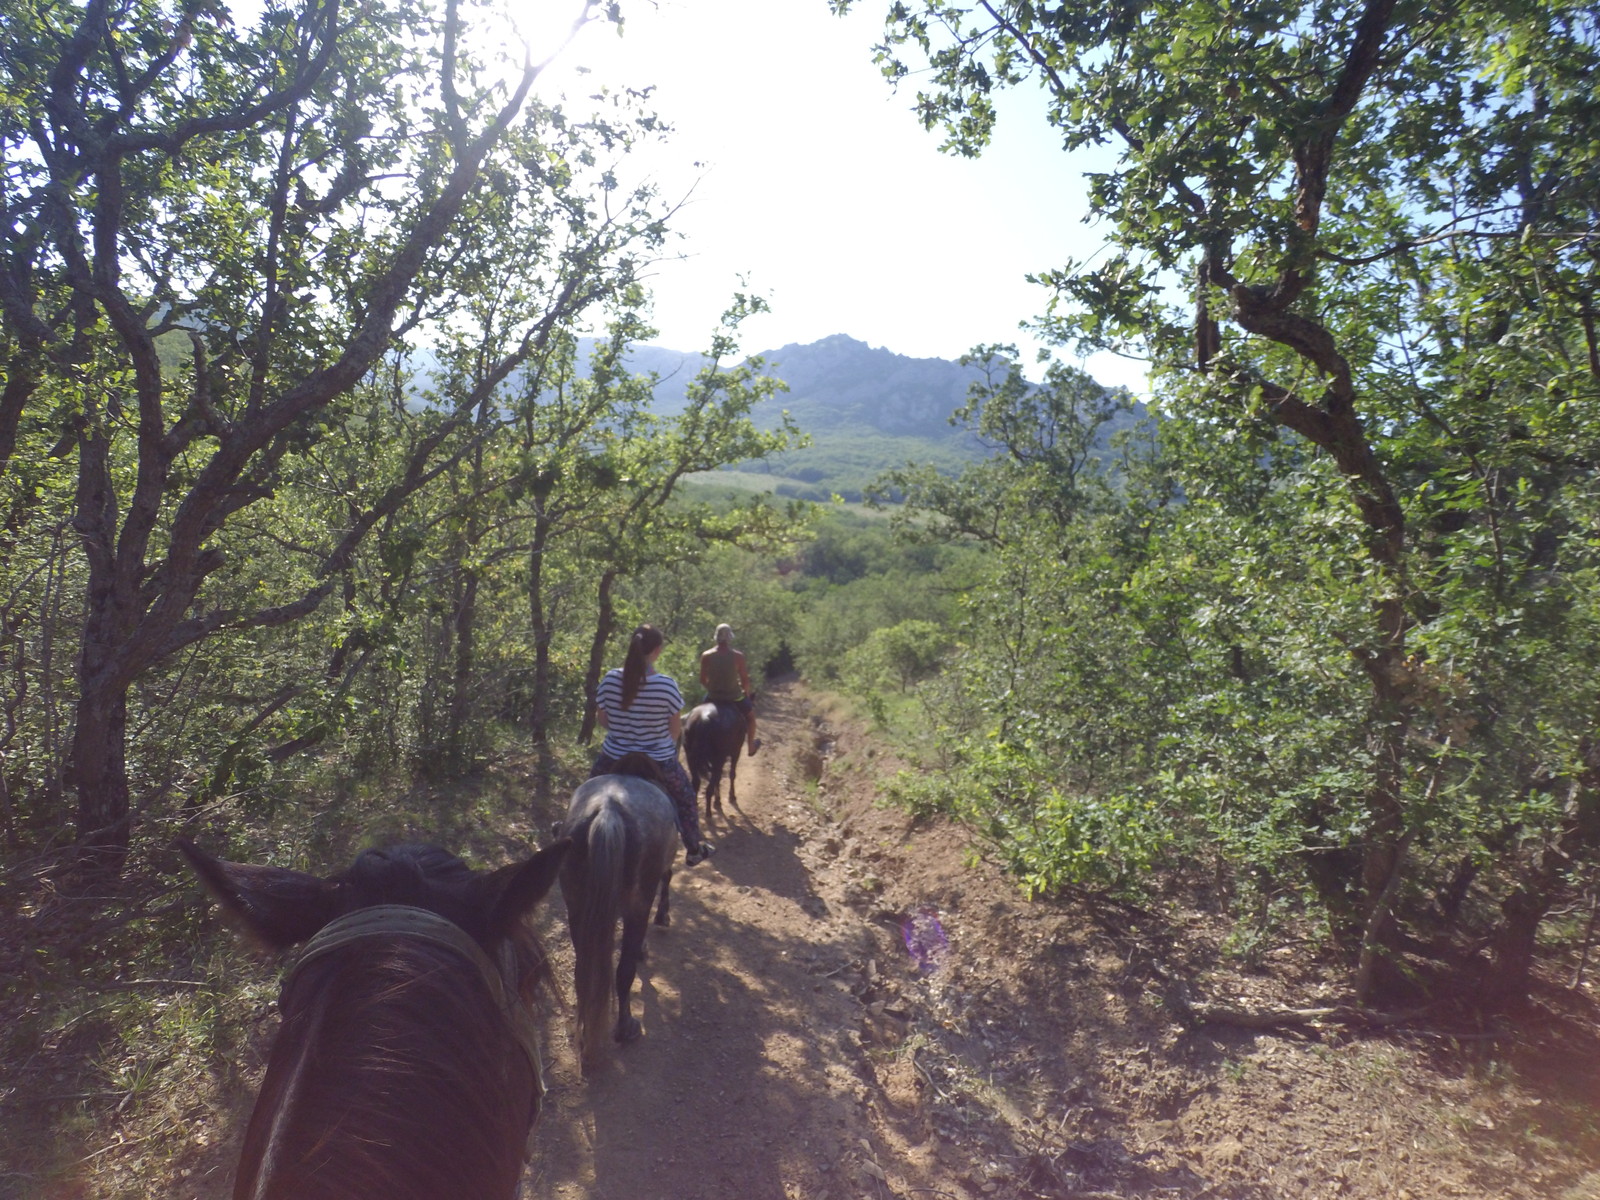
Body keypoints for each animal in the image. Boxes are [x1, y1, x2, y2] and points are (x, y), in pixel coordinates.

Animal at [560, 761, 678, 1068]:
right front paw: (662, 918)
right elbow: (668, 876)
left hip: (576, 906)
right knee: (624, 971)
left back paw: (586, 1037)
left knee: (582, 971)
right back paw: (626, 1028)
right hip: (636, 905)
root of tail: (608, 810)